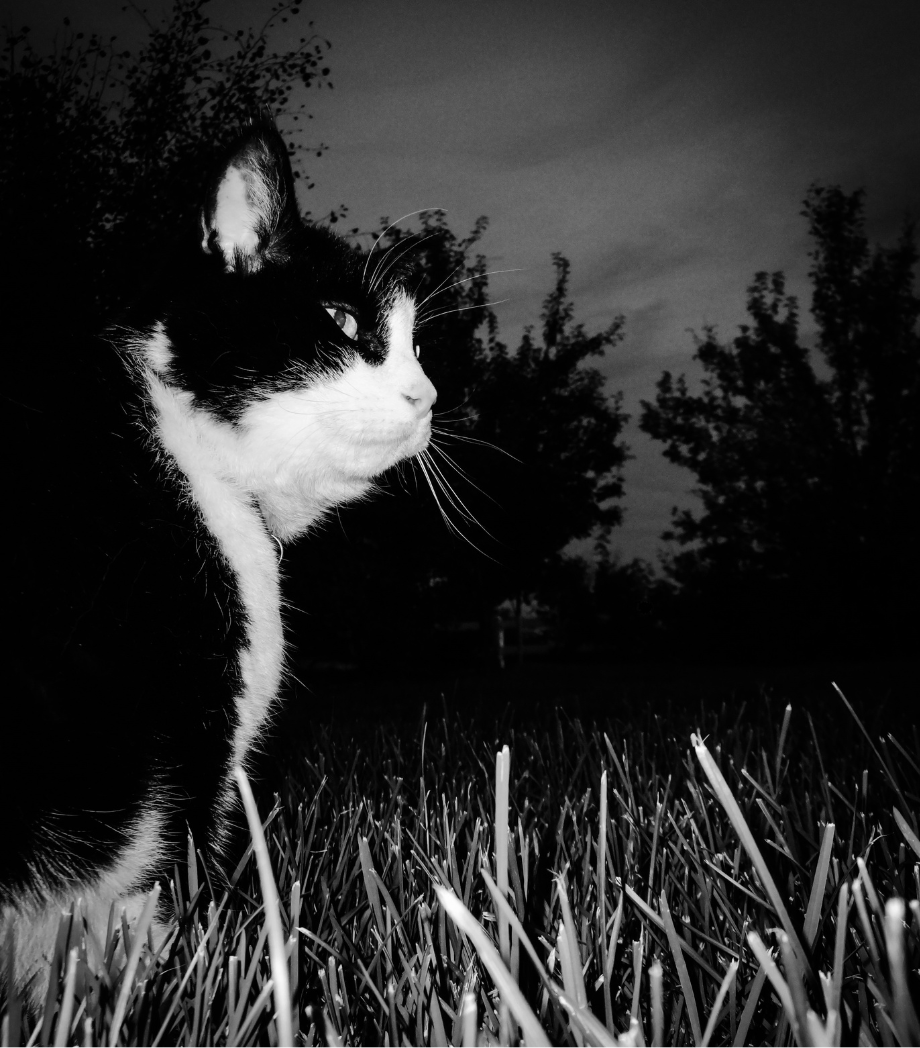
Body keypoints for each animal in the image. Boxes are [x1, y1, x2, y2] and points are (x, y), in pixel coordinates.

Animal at [0, 116, 440, 1006]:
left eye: (418, 345)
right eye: (342, 321)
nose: (428, 397)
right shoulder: (194, 742)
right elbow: (153, 915)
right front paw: (145, 1005)